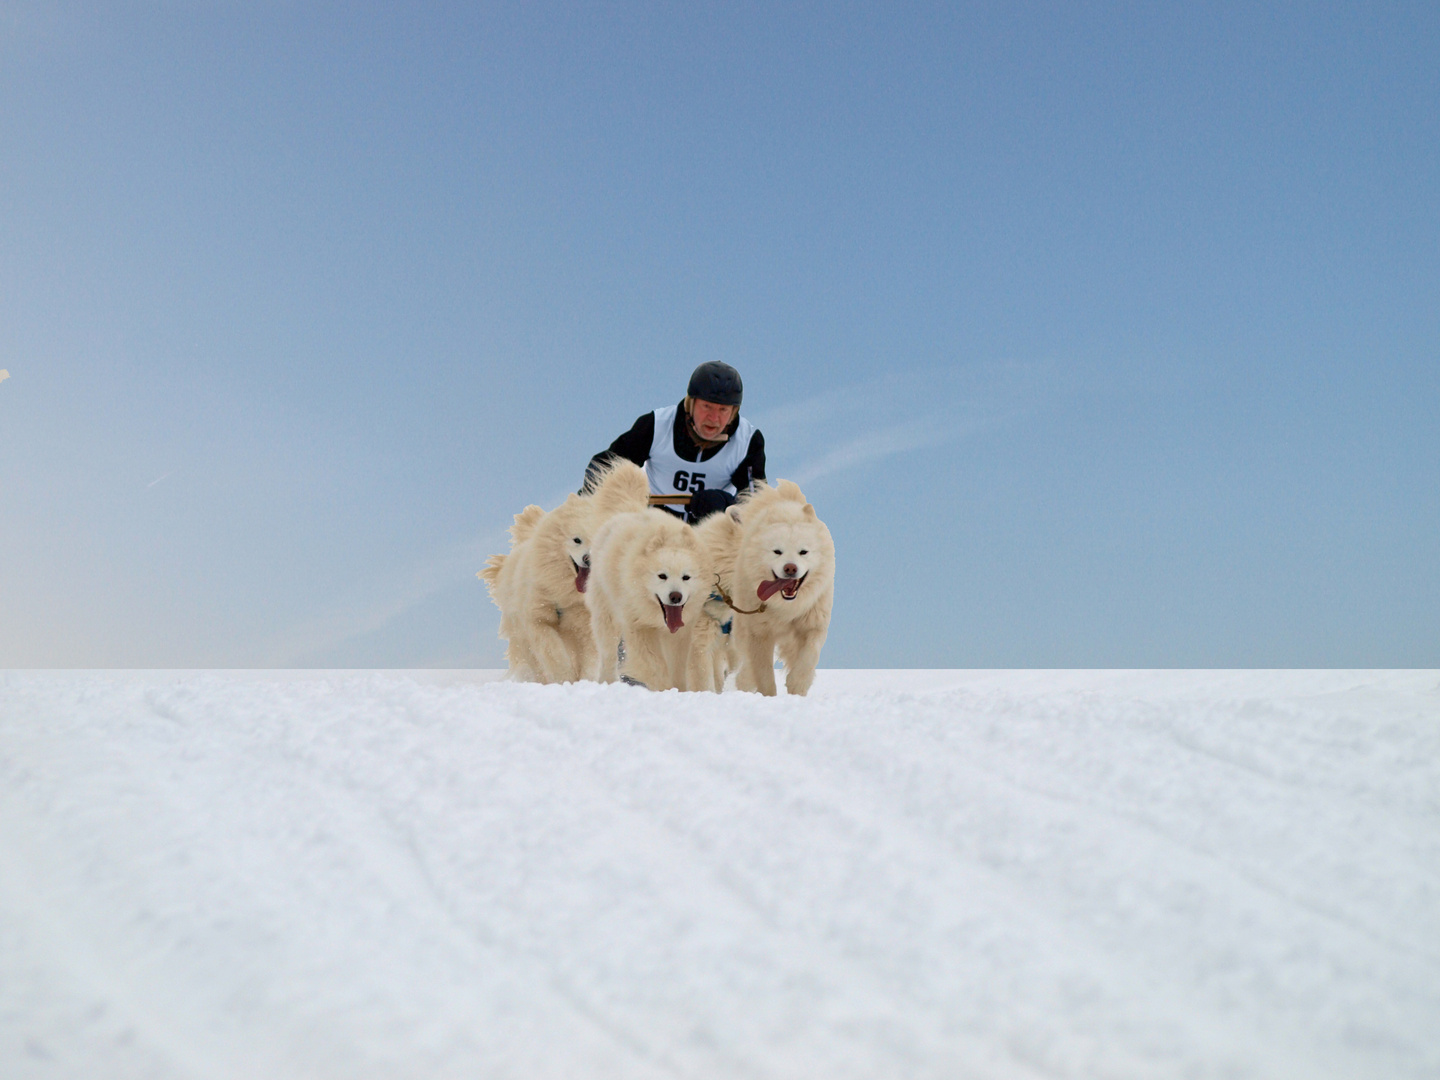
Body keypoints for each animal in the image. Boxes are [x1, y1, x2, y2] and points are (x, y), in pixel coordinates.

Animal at [478, 463, 648, 685]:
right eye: (577, 540)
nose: (588, 559)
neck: (568, 595)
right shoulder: (539, 620)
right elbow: (554, 652)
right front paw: (564, 677)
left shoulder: (588, 627)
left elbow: (590, 660)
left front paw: (583, 681)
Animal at [702, 478, 840, 696]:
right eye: (777, 551)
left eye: (804, 552)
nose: (790, 568)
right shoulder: (756, 631)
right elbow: (761, 671)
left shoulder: (814, 621)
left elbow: (808, 656)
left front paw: (797, 686)